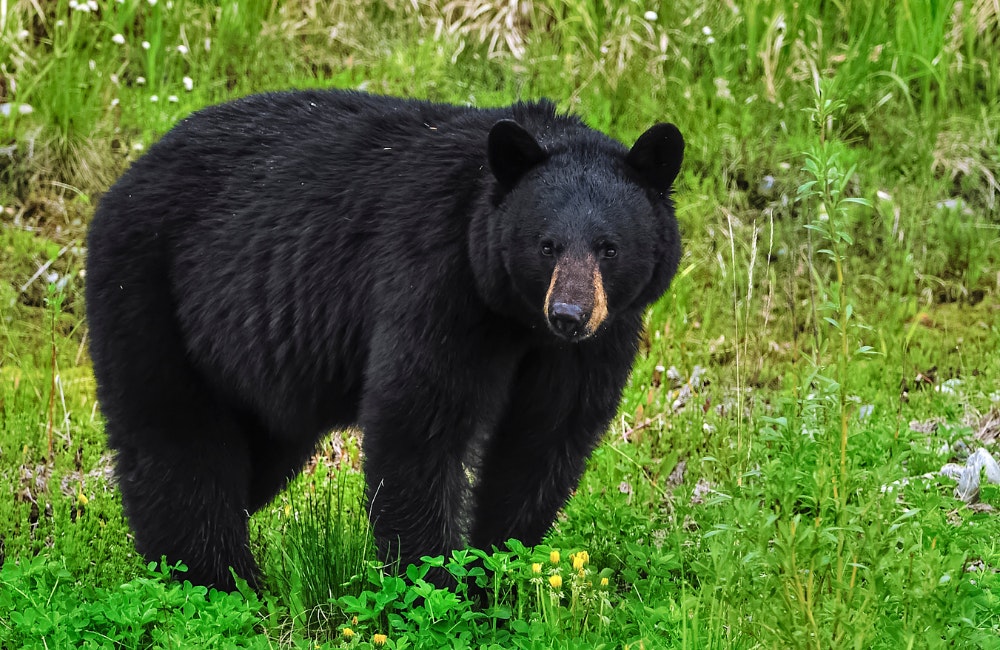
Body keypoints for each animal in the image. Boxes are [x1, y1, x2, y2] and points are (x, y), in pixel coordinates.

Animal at [85, 89, 684, 592]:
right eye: (547, 245)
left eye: (609, 247)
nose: (569, 315)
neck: (517, 319)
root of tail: (124, 177)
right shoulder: (438, 283)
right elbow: (419, 427)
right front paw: (435, 588)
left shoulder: (593, 345)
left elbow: (544, 441)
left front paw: (497, 579)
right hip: (149, 293)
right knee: (176, 444)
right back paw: (215, 582)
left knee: (253, 457)